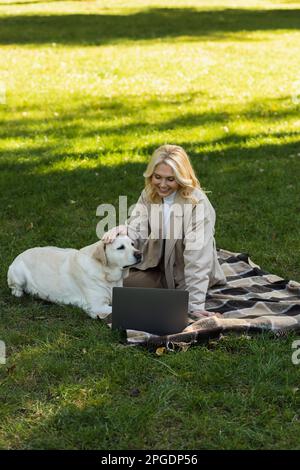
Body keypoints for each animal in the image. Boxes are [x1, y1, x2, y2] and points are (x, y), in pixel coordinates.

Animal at [7, 235, 141, 320]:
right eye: (120, 247)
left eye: (132, 244)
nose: (139, 254)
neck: (107, 274)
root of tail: (20, 254)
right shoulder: (97, 306)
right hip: (18, 274)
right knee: (14, 287)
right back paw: (19, 293)